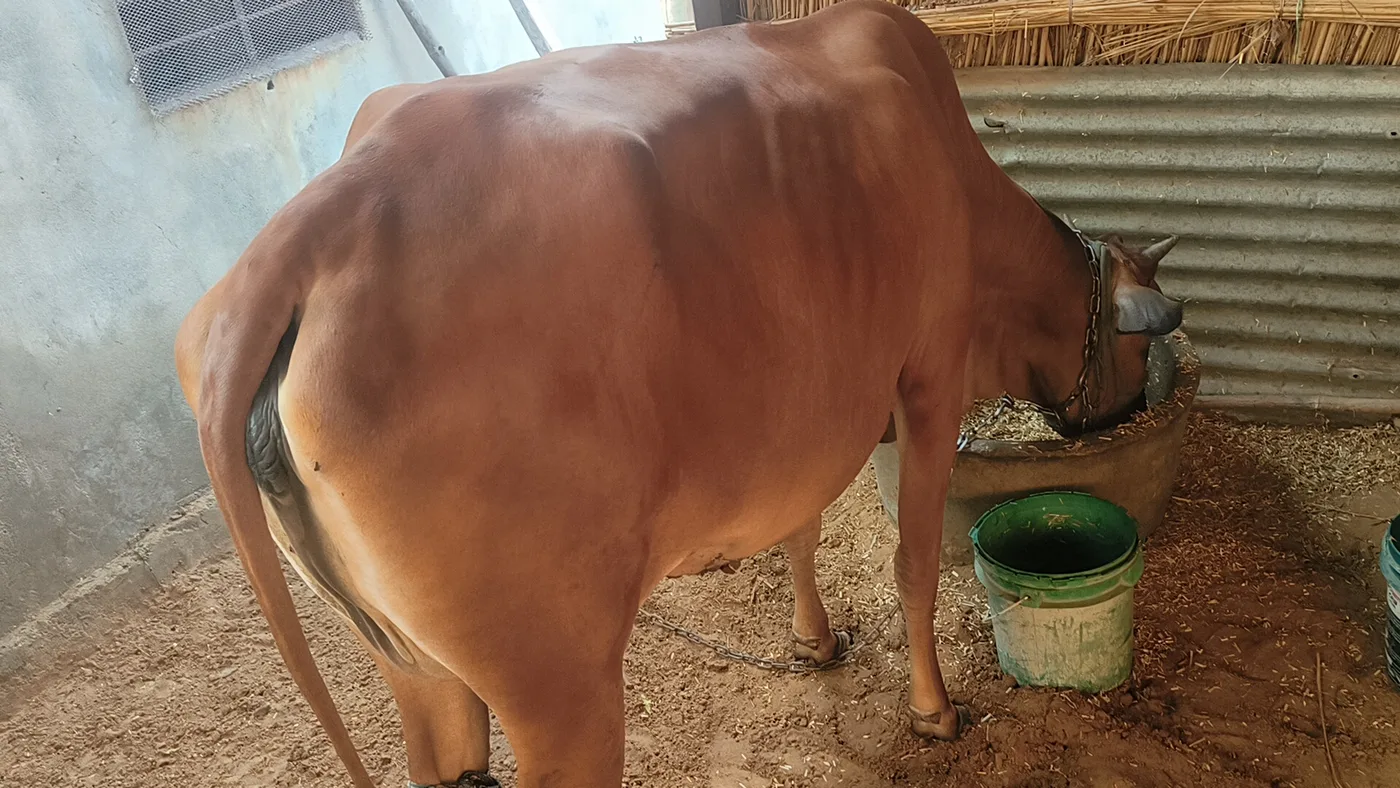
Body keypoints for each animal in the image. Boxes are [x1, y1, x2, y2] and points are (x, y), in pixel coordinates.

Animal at [174, 2, 1183, 786]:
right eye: (1138, 348)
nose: (1132, 409)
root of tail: (315, 228)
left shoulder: (806, 414)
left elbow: (801, 528)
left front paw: (812, 644)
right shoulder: (927, 375)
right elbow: (915, 562)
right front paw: (933, 711)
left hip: (411, 664)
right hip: (560, 688)